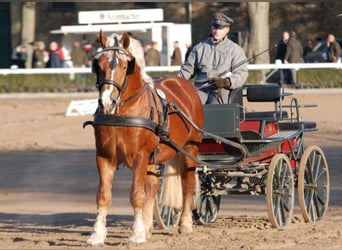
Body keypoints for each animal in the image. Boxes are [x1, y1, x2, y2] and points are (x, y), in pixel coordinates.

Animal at [86, 30, 203, 244]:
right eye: (98, 65)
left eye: (125, 66)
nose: (107, 102)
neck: (123, 112)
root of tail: (184, 84)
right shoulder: (104, 156)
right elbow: (103, 195)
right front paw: (97, 234)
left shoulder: (139, 156)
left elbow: (136, 195)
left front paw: (136, 234)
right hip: (153, 157)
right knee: (153, 185)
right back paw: (148, 226)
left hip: (190, 148)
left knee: (187, 183)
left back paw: (185, 223)